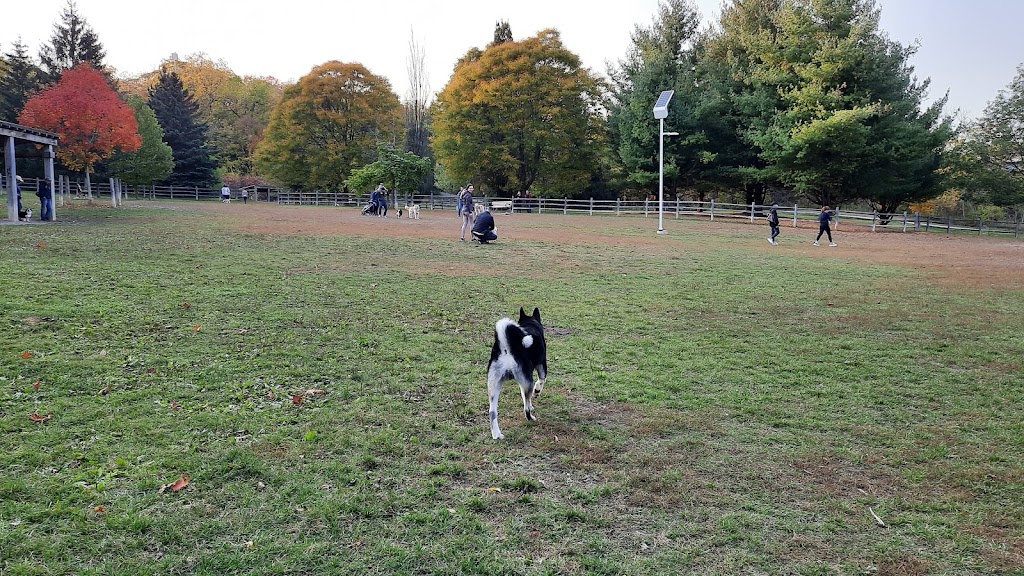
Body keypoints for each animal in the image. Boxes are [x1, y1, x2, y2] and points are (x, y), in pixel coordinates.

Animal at [485, 307, 548, 436]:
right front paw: (537, 391)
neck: (530, 324)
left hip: (494, 385)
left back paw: (497, 435)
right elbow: (541, 381)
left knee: (492, 411)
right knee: (526, 409)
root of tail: (507, 348)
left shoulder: (523, 382)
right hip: (528, 381)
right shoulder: (541, 366)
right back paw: (531, 418)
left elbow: (524, 397)